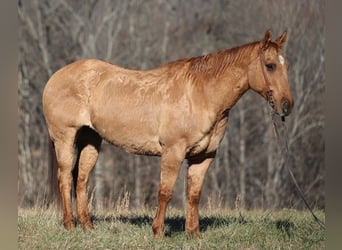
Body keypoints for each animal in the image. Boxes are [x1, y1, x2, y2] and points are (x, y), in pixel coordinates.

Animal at [42, 29, 294, 238]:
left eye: (287, 66)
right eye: (270, 65)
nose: (287, 105)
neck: (201, 94)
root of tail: (55, 76)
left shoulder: (203, 156)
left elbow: (193, 195)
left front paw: (194, 234)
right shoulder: (173, 152)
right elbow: (165, 192)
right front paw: (158, 232)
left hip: (91, 140)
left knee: (81, 179)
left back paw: (87, 226)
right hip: (65, 138)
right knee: (65, 177)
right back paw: (69, 225)